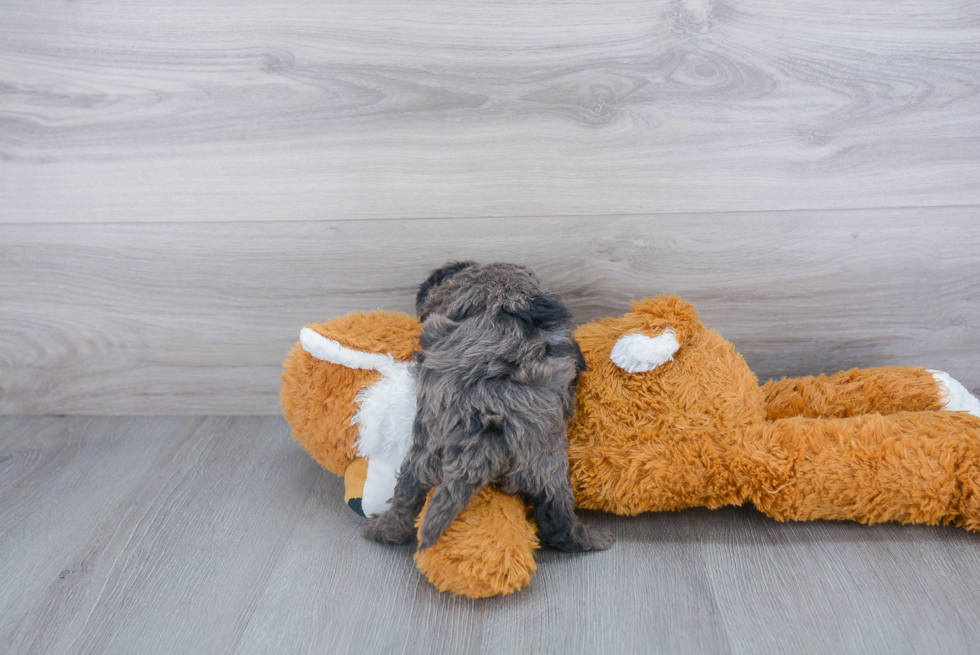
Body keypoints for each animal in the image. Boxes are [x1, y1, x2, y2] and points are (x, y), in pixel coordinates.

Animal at [362, 262, 612, 552]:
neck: (499, 284)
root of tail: (481, 440)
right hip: (545, 465)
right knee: (555, 519)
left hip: (426, 454)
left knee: (406, 497)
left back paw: (380, 529)